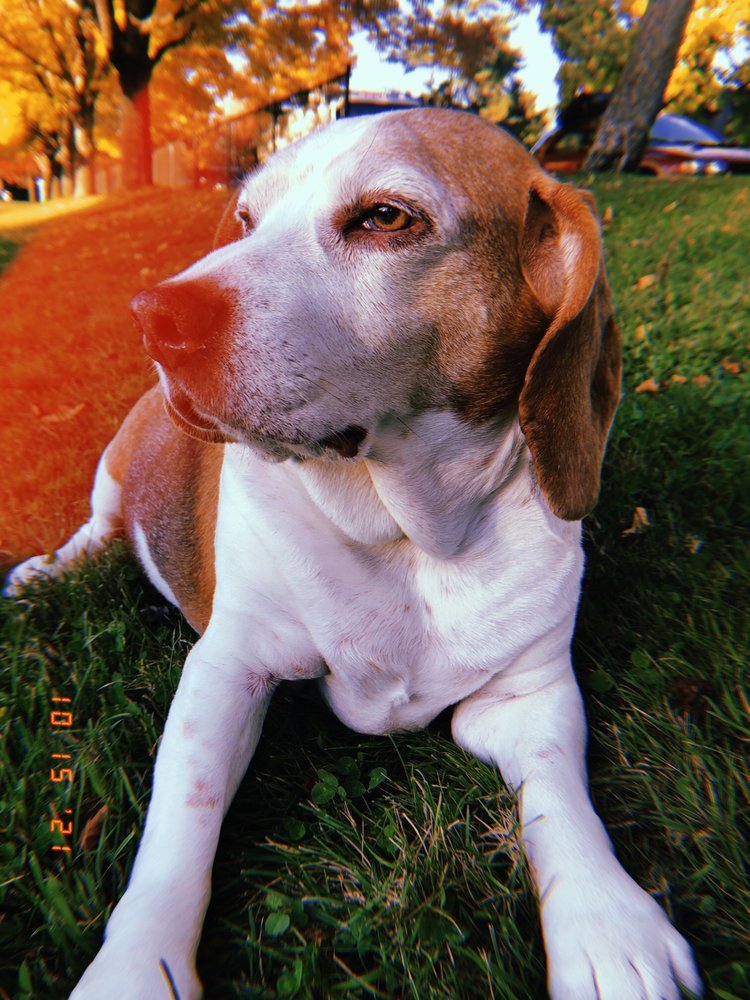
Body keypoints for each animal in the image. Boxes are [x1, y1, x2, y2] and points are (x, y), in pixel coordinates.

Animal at [6, 108, 700, 999]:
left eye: (386, 217)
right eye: (245, 219)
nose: (155, 317)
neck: (410, 536)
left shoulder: (526, 697)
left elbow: (563, 795)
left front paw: (609, 922)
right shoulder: (229, 665)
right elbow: (182, 817)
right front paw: (136, 965)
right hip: (113, 470)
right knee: (97, 525)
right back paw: (50, 570)